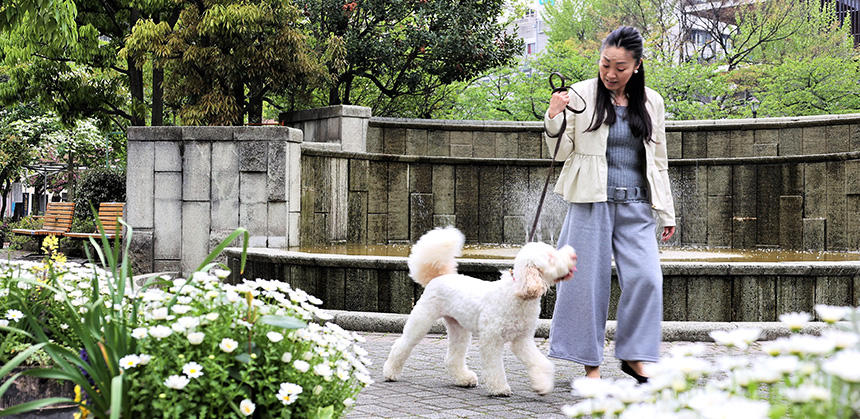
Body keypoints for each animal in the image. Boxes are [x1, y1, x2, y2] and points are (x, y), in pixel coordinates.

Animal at [382, 228, 576, 396]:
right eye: (551, 257)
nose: (572, 256)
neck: (518, 294)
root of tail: (439, 276)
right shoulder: (492, 339)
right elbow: (495, 367)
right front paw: (499, 389)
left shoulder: (522, 340)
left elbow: (540, 363)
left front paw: (542, 385)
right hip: (422, 320)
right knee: (402, 345)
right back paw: (390, 372)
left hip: (458, 328)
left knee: (453, 357)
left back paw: (464, 379)